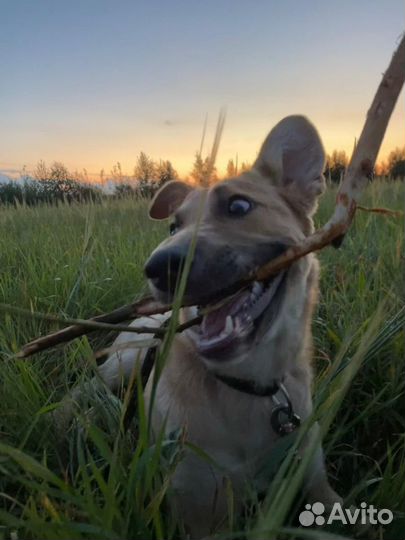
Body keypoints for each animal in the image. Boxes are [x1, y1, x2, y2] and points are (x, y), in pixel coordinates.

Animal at [96, 114, 340, 536]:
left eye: (239, 205)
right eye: (173, 227)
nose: (159, 268)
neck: (248, 386)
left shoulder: (314, 476)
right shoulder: (198, 507)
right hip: (122, 363)